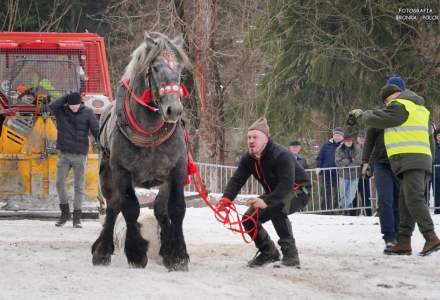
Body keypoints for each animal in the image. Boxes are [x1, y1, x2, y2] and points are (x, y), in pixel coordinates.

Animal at [91, 31, 191, 270]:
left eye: (180, 69)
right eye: (155, 67)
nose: (174, 109)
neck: (150, 134)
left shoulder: (177, 169)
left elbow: (176, 208)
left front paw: (178, 254)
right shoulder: (122, 172)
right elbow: (130, 208)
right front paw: (136, 252)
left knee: (160, 209)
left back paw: (166, 250)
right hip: (107, 175)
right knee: (113, 206)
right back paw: (102, 249)